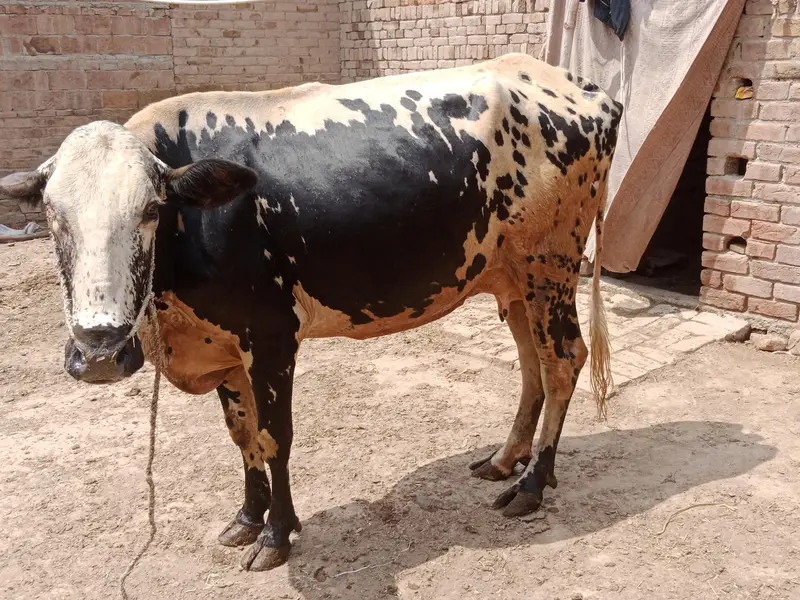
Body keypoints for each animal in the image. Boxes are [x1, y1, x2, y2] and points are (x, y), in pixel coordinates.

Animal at [1, 53, 621, 571]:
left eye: (152, 209)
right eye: (52, 214)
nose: (98, 350)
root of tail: (579, 86)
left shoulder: (270, 337)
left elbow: (274, 435)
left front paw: (276, 535)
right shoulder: (226, 346)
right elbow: (241, 434)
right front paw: (247, 519)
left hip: (551, 266)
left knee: (563, 362)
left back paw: (532, 483)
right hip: (513, 282)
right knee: (531, 365)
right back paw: (505, 459)